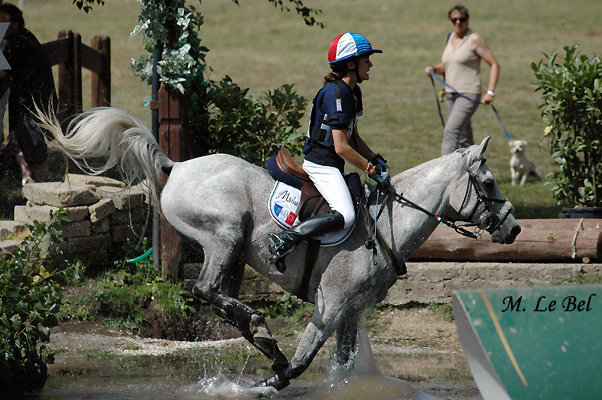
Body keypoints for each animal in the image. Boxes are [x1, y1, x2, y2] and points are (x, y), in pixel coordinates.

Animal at [37, 106, 516, 390]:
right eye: (489, 182)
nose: (512, 227)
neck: (386, 227)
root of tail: (177, 166)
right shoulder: (330, 305)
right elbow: (303, 363)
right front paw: (275, 379)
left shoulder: (351, 311)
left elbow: (344, 366)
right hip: (226, 232)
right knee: (203, 289)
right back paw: (265, 337)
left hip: (232, 252)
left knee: (217, 295)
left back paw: (259, 335)